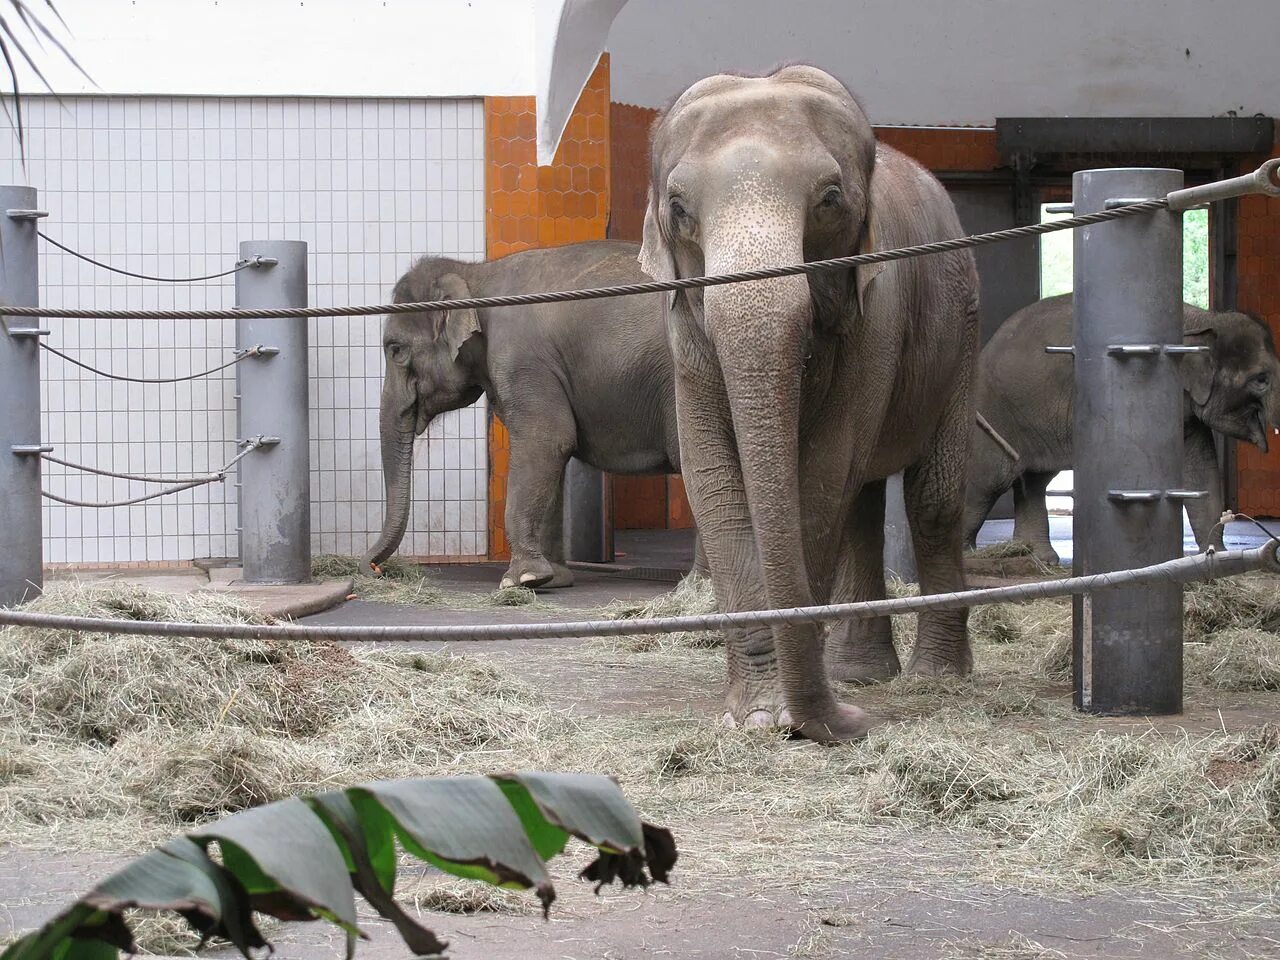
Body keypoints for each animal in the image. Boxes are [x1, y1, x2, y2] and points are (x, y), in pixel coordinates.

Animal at [366, 240, 696, 591]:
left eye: (395, 350)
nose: (375, 568)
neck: (476, 274)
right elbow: (554, 455)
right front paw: (553, 579)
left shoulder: (520, 359)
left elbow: (547, 441)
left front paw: (520, 580)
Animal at [640, 65, 977, 742]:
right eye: (679, 209)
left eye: (830, 200)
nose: (851, 723)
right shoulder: (684, 332)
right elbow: (713, 480)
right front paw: (758, 719)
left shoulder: (880, 308)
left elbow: (821, 475)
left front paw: (789, 717)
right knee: (863, 506)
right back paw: (860, 675)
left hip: (963, 333)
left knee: (931, 499)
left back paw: (935, 677)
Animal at [962, 293, 1274, 563]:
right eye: (1261, 380)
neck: (1204, 317)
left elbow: (1201, 471)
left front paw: (1216, 559)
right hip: (995, 410)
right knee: (989, 479)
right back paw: (969, 557)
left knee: (1033, 481)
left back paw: (1038, 559)